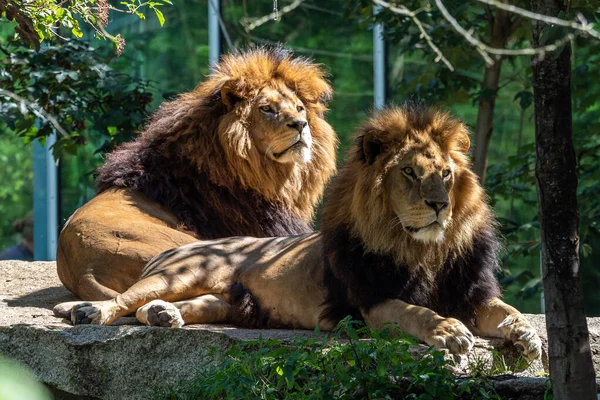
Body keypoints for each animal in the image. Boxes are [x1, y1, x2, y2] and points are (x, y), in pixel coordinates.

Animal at [57, 104, 544, 360]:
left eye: (445, 174)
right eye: (408, 172)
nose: (440, 205)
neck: (423, 251)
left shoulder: (473, 293)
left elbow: (506, 309)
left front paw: (527, 335)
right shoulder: (366, 303)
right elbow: (415, 311)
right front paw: (448, 331)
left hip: (232, 302)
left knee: (173, 308)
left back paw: (164, 316)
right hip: (178, 273)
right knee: (125, 301)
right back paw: (91, 313)